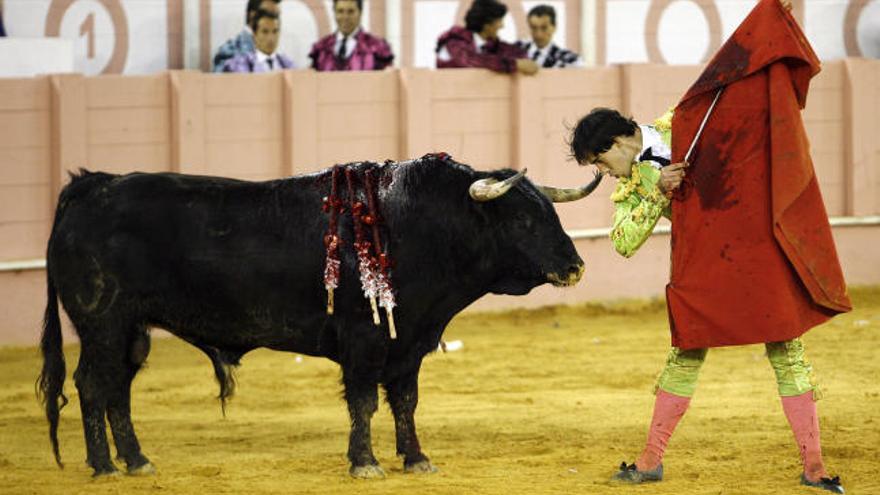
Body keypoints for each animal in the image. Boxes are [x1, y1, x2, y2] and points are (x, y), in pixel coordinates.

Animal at [37, 156, 596, 480]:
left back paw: (136, 461)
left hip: (133, 330)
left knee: (118, 389)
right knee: (92, 384)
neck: (415, 225)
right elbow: (365, 403)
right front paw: (365, 463)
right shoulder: (364, 342)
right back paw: (105, 467)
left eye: (551, 213)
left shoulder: (409, 343)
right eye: (523, 219)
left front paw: (416, 459)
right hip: (102, 324)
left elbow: (406, 403)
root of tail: (92, 187)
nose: (575, 266)